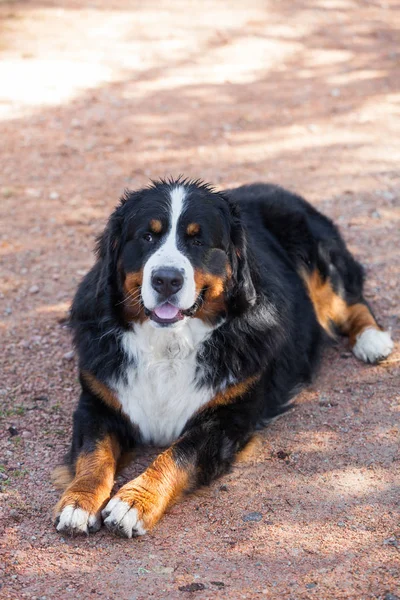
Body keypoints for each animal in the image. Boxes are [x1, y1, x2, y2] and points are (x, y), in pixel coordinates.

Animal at [53, 176, 394, 536]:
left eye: (198, 240)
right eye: (147, 236)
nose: (166, 279)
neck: (169, 344)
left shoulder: (227, 418)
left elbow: (178, 455)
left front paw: (134, 502)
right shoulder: (98, 403)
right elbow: (95, 455)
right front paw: (79, 502)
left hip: (316, 260)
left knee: (350, 300)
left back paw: (372, 340)